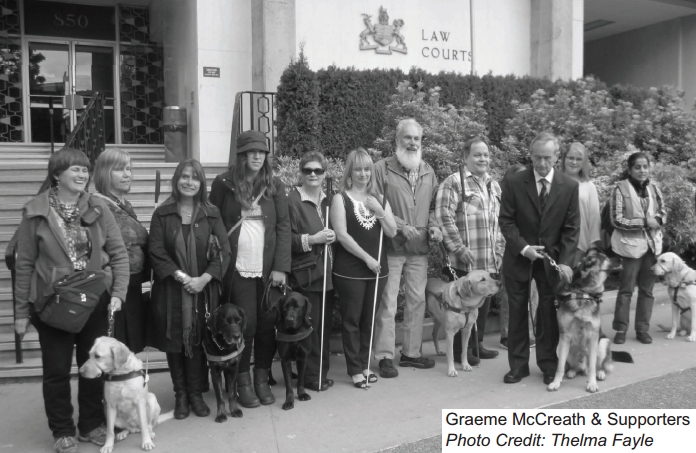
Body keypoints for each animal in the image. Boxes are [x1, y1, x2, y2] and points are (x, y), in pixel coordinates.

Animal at [548, 251, 616, 392]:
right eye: (606, 258)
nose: (621, 259)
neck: (583, 293)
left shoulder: (593, 337)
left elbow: (592, 366)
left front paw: (592, 383)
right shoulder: (564, 337)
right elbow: (560, 366)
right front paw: (556, 382)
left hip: (603, 342)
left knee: (598, 366)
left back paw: (600, 373)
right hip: (560, 347)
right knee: (574, 366)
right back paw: (572, 371)